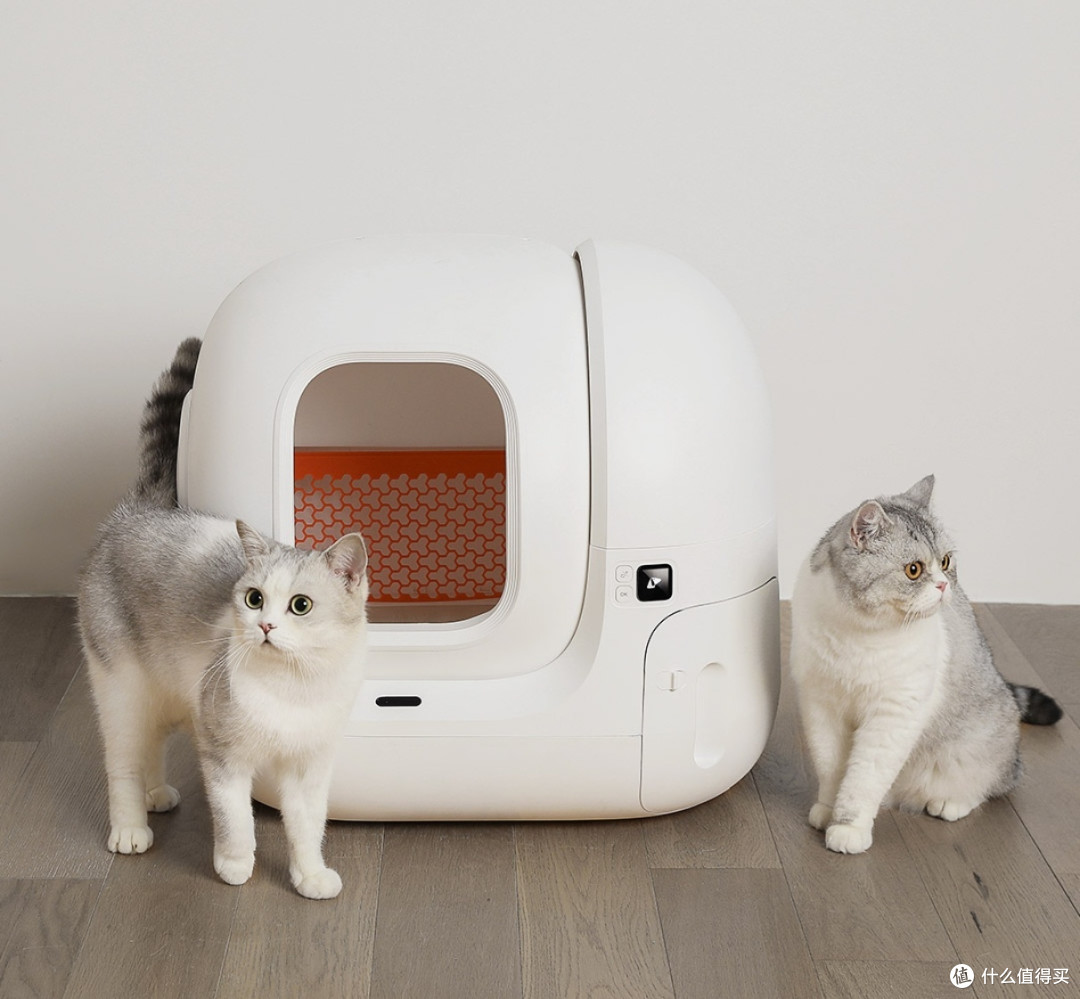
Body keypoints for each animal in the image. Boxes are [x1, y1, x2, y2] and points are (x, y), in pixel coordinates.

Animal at [78, 338, 369, 898]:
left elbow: (307, 828)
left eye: (300, 605)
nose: (265, 627)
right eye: (254, 599)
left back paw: (156, 794)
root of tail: (140, 511)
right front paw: (235, 867)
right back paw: (130, 828)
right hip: (121, 690)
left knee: (150, 746)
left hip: (166, 695)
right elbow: (237, 822)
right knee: (123, 762)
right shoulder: (224, 760)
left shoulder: (308, 769)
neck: (293, 687)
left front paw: (310, 877)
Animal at [790, 475, 1061, 855]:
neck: (858, 633)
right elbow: (832, 769)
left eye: (945, 561)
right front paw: (828, 811)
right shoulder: (822, 705)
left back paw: (951, 802)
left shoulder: (892, 716)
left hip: (980, 747)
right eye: (914, 570)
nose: (944, 585)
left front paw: (848, 827)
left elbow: (862, 779)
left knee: (994, 782)